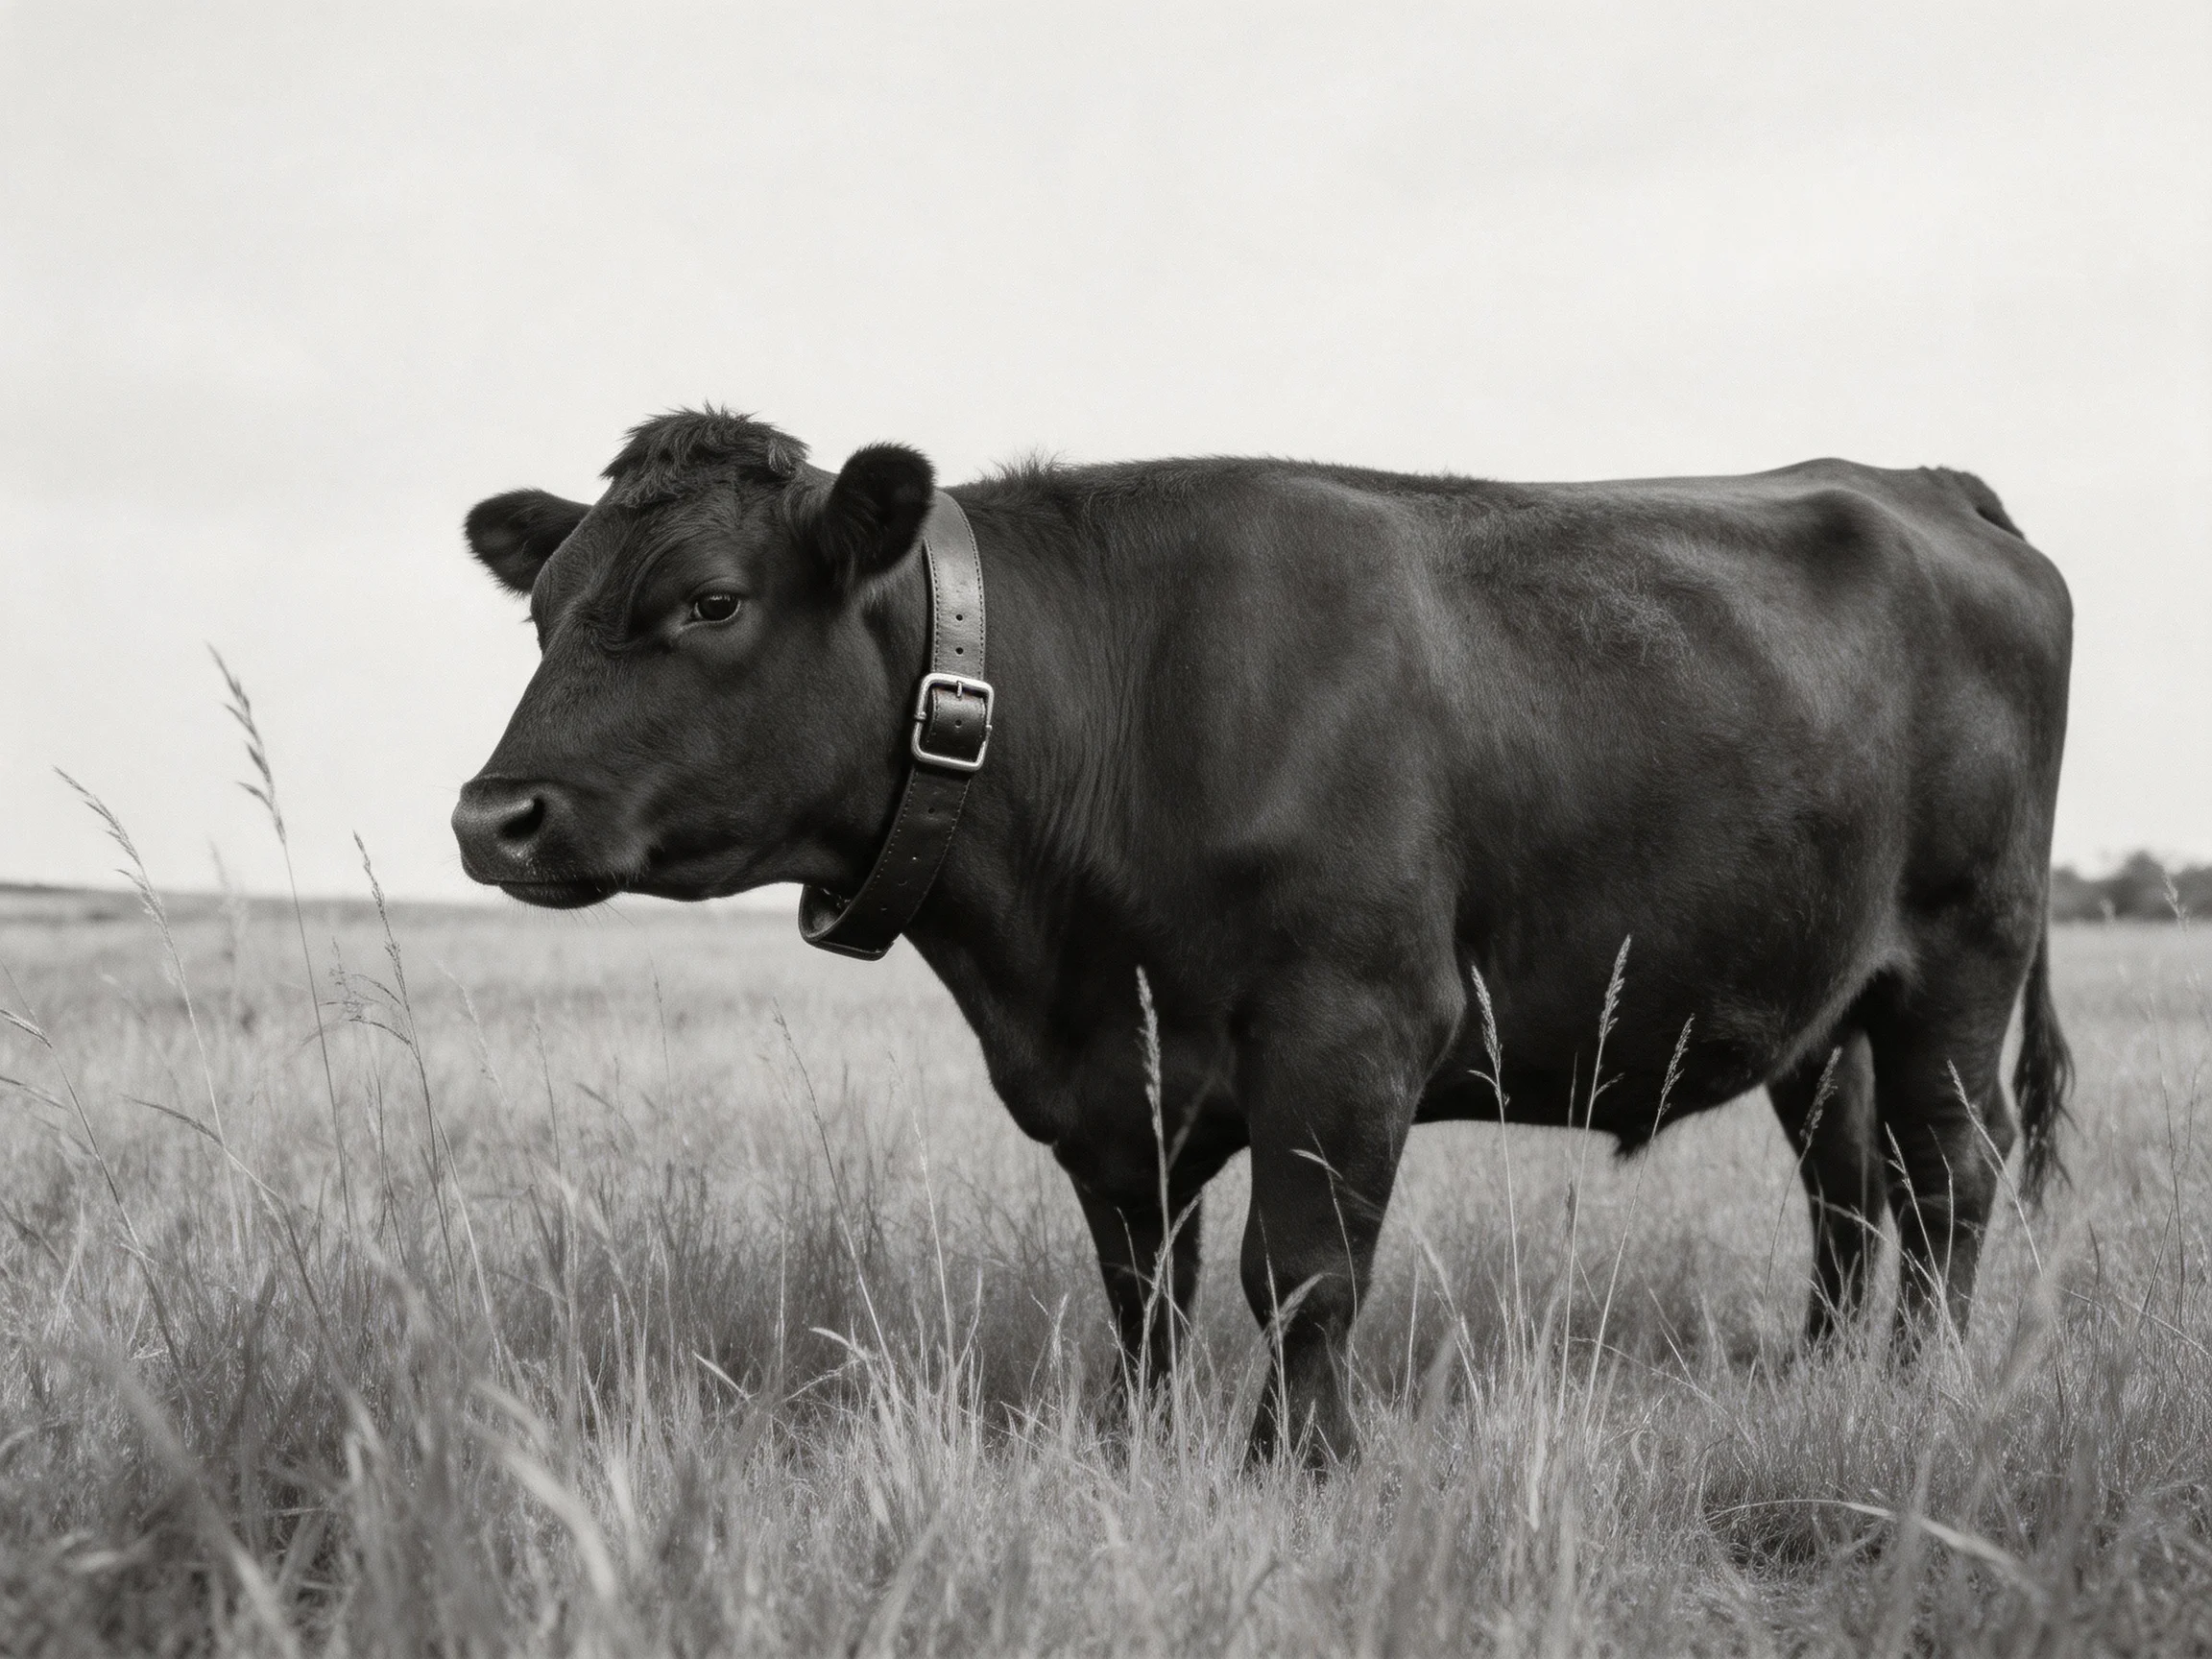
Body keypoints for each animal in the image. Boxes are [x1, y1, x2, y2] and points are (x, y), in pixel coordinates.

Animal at [452, 408, 2073, 1464]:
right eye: (541, 614)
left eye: (710, 602)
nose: (490, 815)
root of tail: (1918, 481)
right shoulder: (1115, 1081)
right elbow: (1141, 1288)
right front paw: (1140, 1454)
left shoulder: (1350, 1027)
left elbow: (1299, 1272)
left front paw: (1301, 1468)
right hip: (1822, 996)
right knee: (1845, 1184)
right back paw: (1818, 1377)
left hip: (1960, 955)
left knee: (1946, 1174)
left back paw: (1919, 1388)